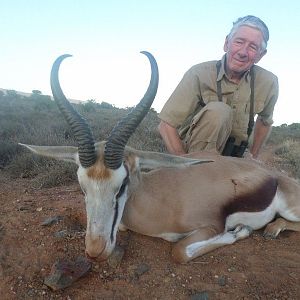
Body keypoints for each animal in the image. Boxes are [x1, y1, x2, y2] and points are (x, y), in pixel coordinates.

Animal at [20, 52, 300, 264]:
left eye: (122, 184)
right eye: (81, 186)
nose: (95, 251)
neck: (160, 199)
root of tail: (278, 176)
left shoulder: (210, 227)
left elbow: (179, 251)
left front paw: (241, 231)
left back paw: (272, 229)